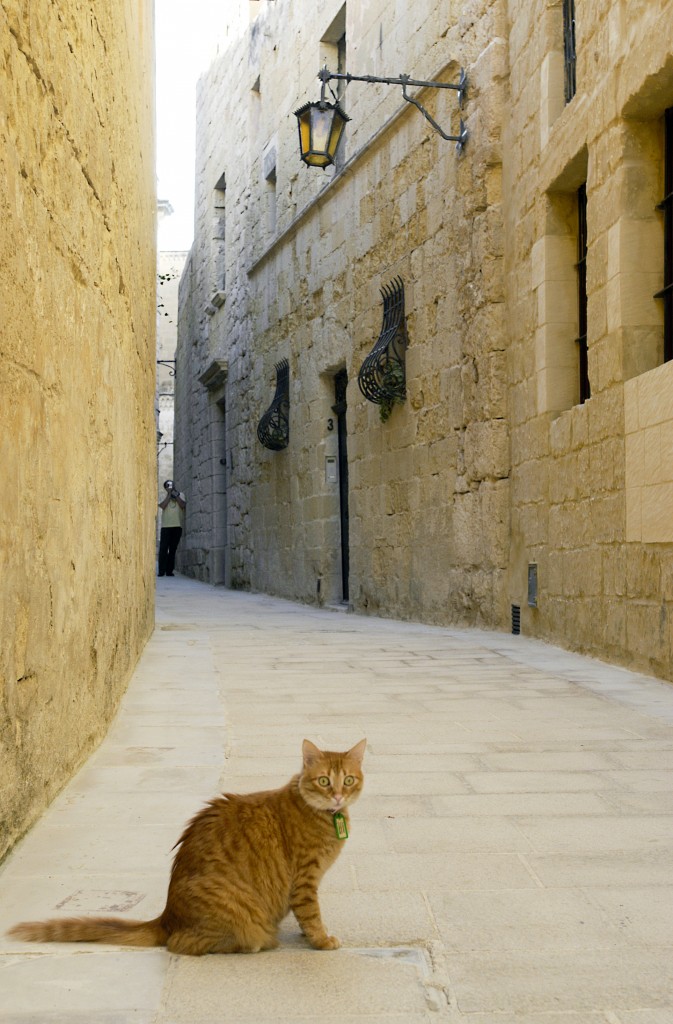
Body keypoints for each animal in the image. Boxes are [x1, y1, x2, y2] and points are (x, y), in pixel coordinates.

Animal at [7, 741, 364, 954]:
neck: (327, 816)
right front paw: (321, 939)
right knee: (185, 944)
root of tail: (167, 917)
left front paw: (308, 936)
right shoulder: (304, 879)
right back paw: (257, 943)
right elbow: (311, 913)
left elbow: (306, 916)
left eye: (348, 780)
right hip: (237, 909)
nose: (337, 796)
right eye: (324, 781)